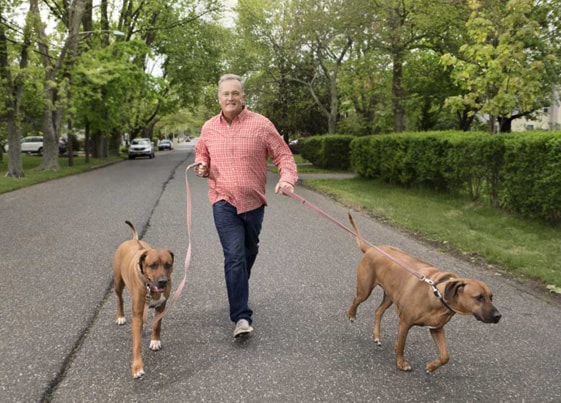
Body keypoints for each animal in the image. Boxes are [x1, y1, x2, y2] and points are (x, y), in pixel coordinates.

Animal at [112, 223, 174, 380]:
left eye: (168, 264)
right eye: (152, 265)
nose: (163, 282)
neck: (149, 286)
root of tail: (134, 239)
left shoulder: (161, 306)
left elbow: (157, 325)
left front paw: (155, 341)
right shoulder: (138, 314)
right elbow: (136, 344)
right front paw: (137, 366)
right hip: (118, 281)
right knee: (119, 298)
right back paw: (120, 316)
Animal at [346, 213, 498, 374]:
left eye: (491, 297)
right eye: (479, 297)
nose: (498, 316)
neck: (437, 294)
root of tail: (370, 249)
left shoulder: (436, 329)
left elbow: (445, 356)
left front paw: (431, 366)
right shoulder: (405, 322)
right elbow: (401, 344)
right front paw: (401, 362)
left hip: (390, 295)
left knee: (378, 311)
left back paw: (377, 336)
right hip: (365, 289)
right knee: (356, 300)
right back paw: (352, 315)